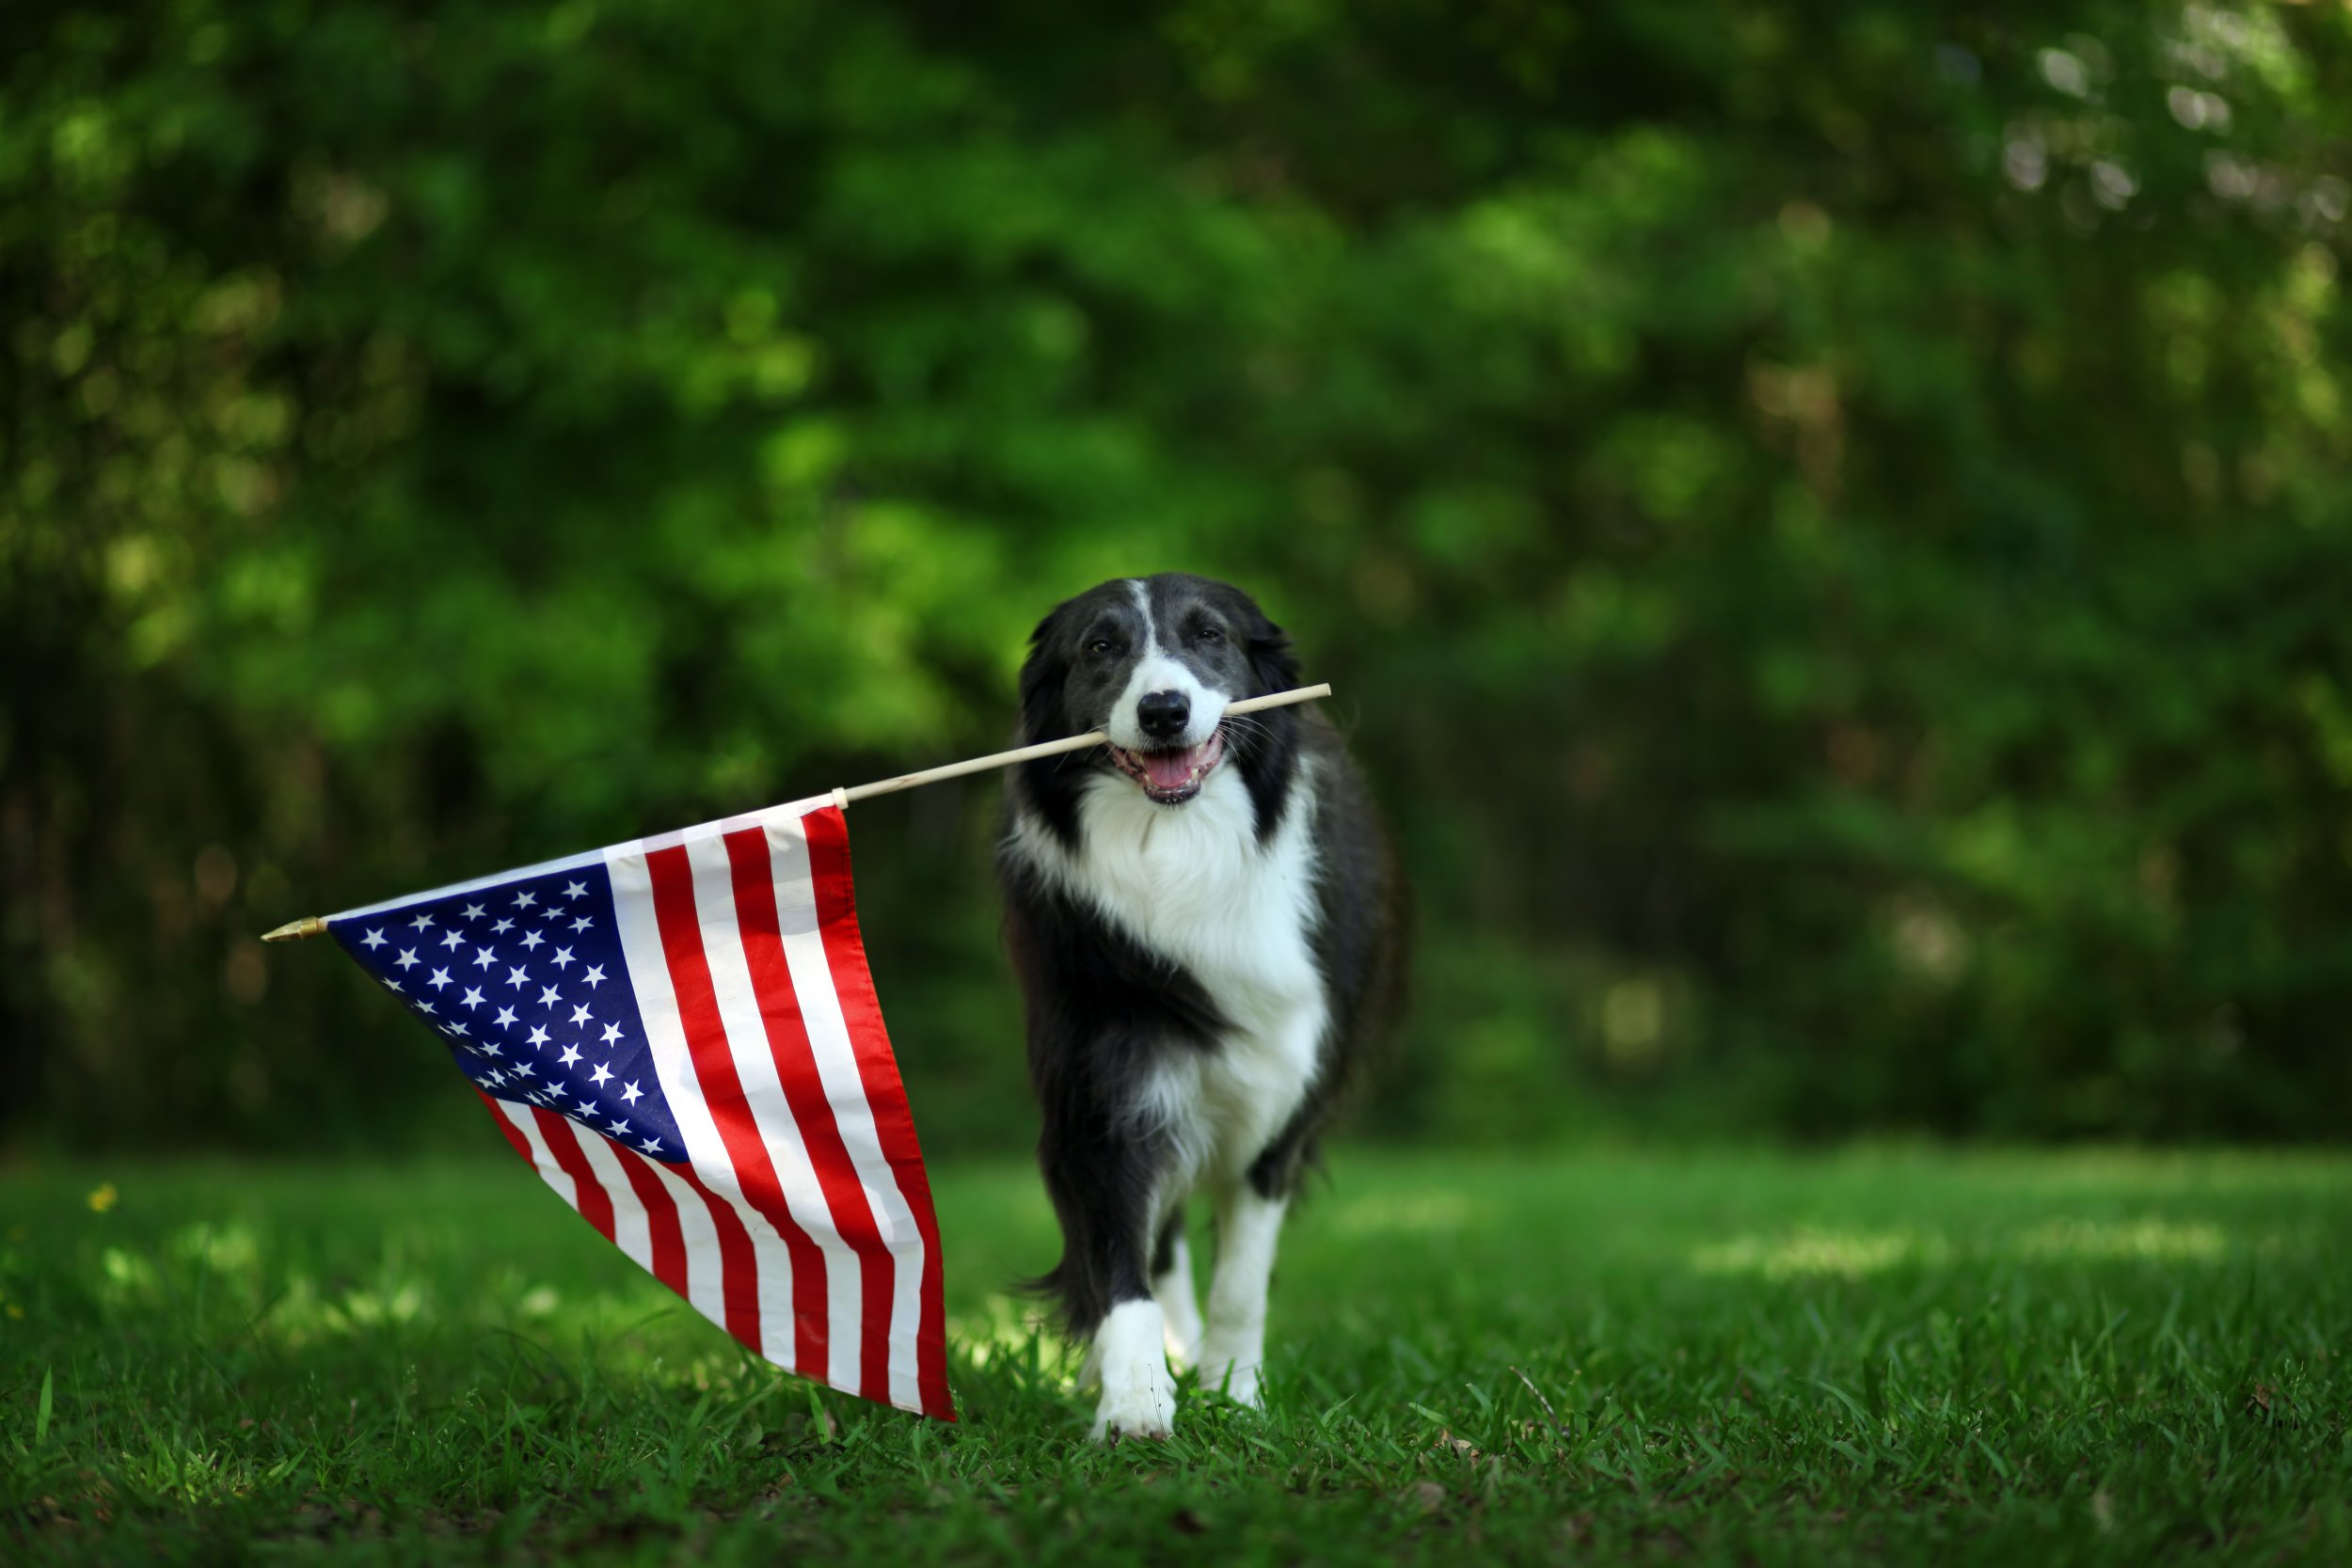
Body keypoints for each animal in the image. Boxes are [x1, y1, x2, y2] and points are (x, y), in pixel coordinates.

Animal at [988, 571, 1392, 1438]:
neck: (1177, 850)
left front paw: (1235, 1392)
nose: (1164, 710)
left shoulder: (1280, 1101)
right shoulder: (1101, 1093)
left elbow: (1242, 1277)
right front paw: (1136, 1399)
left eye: (1210, 636)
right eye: (1100, 646)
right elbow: (1120, 1262)